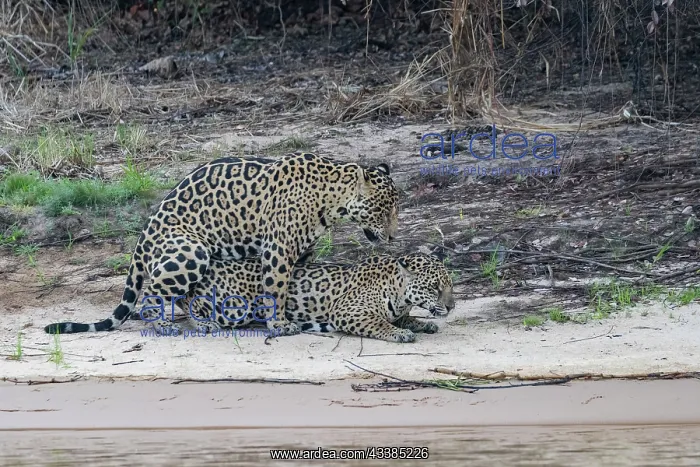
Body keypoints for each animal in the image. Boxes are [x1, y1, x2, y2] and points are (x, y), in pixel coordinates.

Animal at [43, 152, 400, 337]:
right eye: (383, 210)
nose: (394, 236)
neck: (331, 198)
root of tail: (143, 237)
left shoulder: (302, 253)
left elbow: (295, 286)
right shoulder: (279, 249)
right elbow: (277, 288)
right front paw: (280, 324)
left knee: (183, 295)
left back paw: (202, 321)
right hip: (191, 250)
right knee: (153, 291)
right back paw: (165, 325)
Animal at [124, 252, 455, 343]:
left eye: (450, 285)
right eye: (434, 287)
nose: (452, 306)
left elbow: (408, 318)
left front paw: (422, 324)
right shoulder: (347, 311)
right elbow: (380, 324)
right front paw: (399, 333)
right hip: (232, 306)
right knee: (169, 299)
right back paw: (188, 325)